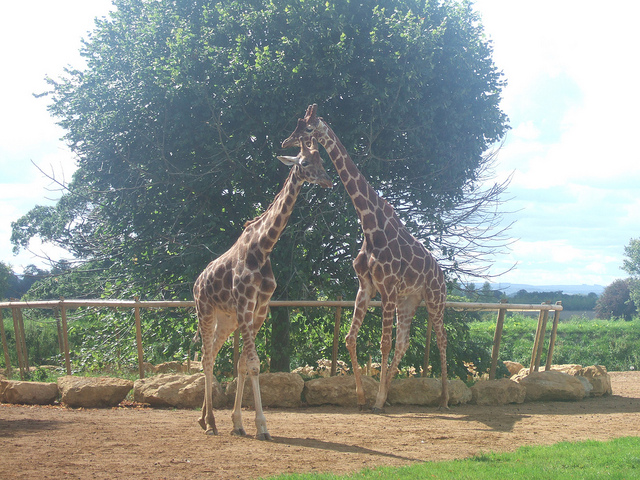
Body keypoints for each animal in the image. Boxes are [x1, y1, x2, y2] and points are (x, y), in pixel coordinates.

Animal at [193, 137, 331, 439]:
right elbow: (255, 365)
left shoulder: (260, 308)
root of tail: (197, 282)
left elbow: (243, 364)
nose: (327, 180)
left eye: (323, 160)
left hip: (226, 319)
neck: (263, 247)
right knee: (206, 359)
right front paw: (262, 427)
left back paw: (203, 419)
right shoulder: (245, 305)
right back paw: (210, 423)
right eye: (305, 162)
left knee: (211, 356)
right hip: (205, 311)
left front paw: (238, 423)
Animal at [282, 104, 449, 412]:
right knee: (404, 342)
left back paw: (443, 398)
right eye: (296, 124)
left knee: (440, 339)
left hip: (434, 299)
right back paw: (390, 393)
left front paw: (376, 401)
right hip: (409, 300)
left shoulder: (388, 287)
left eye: (308, 128)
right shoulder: (366, 286)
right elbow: (350, 338)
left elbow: (383, 343)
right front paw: (363, 397)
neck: (370, 225)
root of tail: (442, 273)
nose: (286, 141)